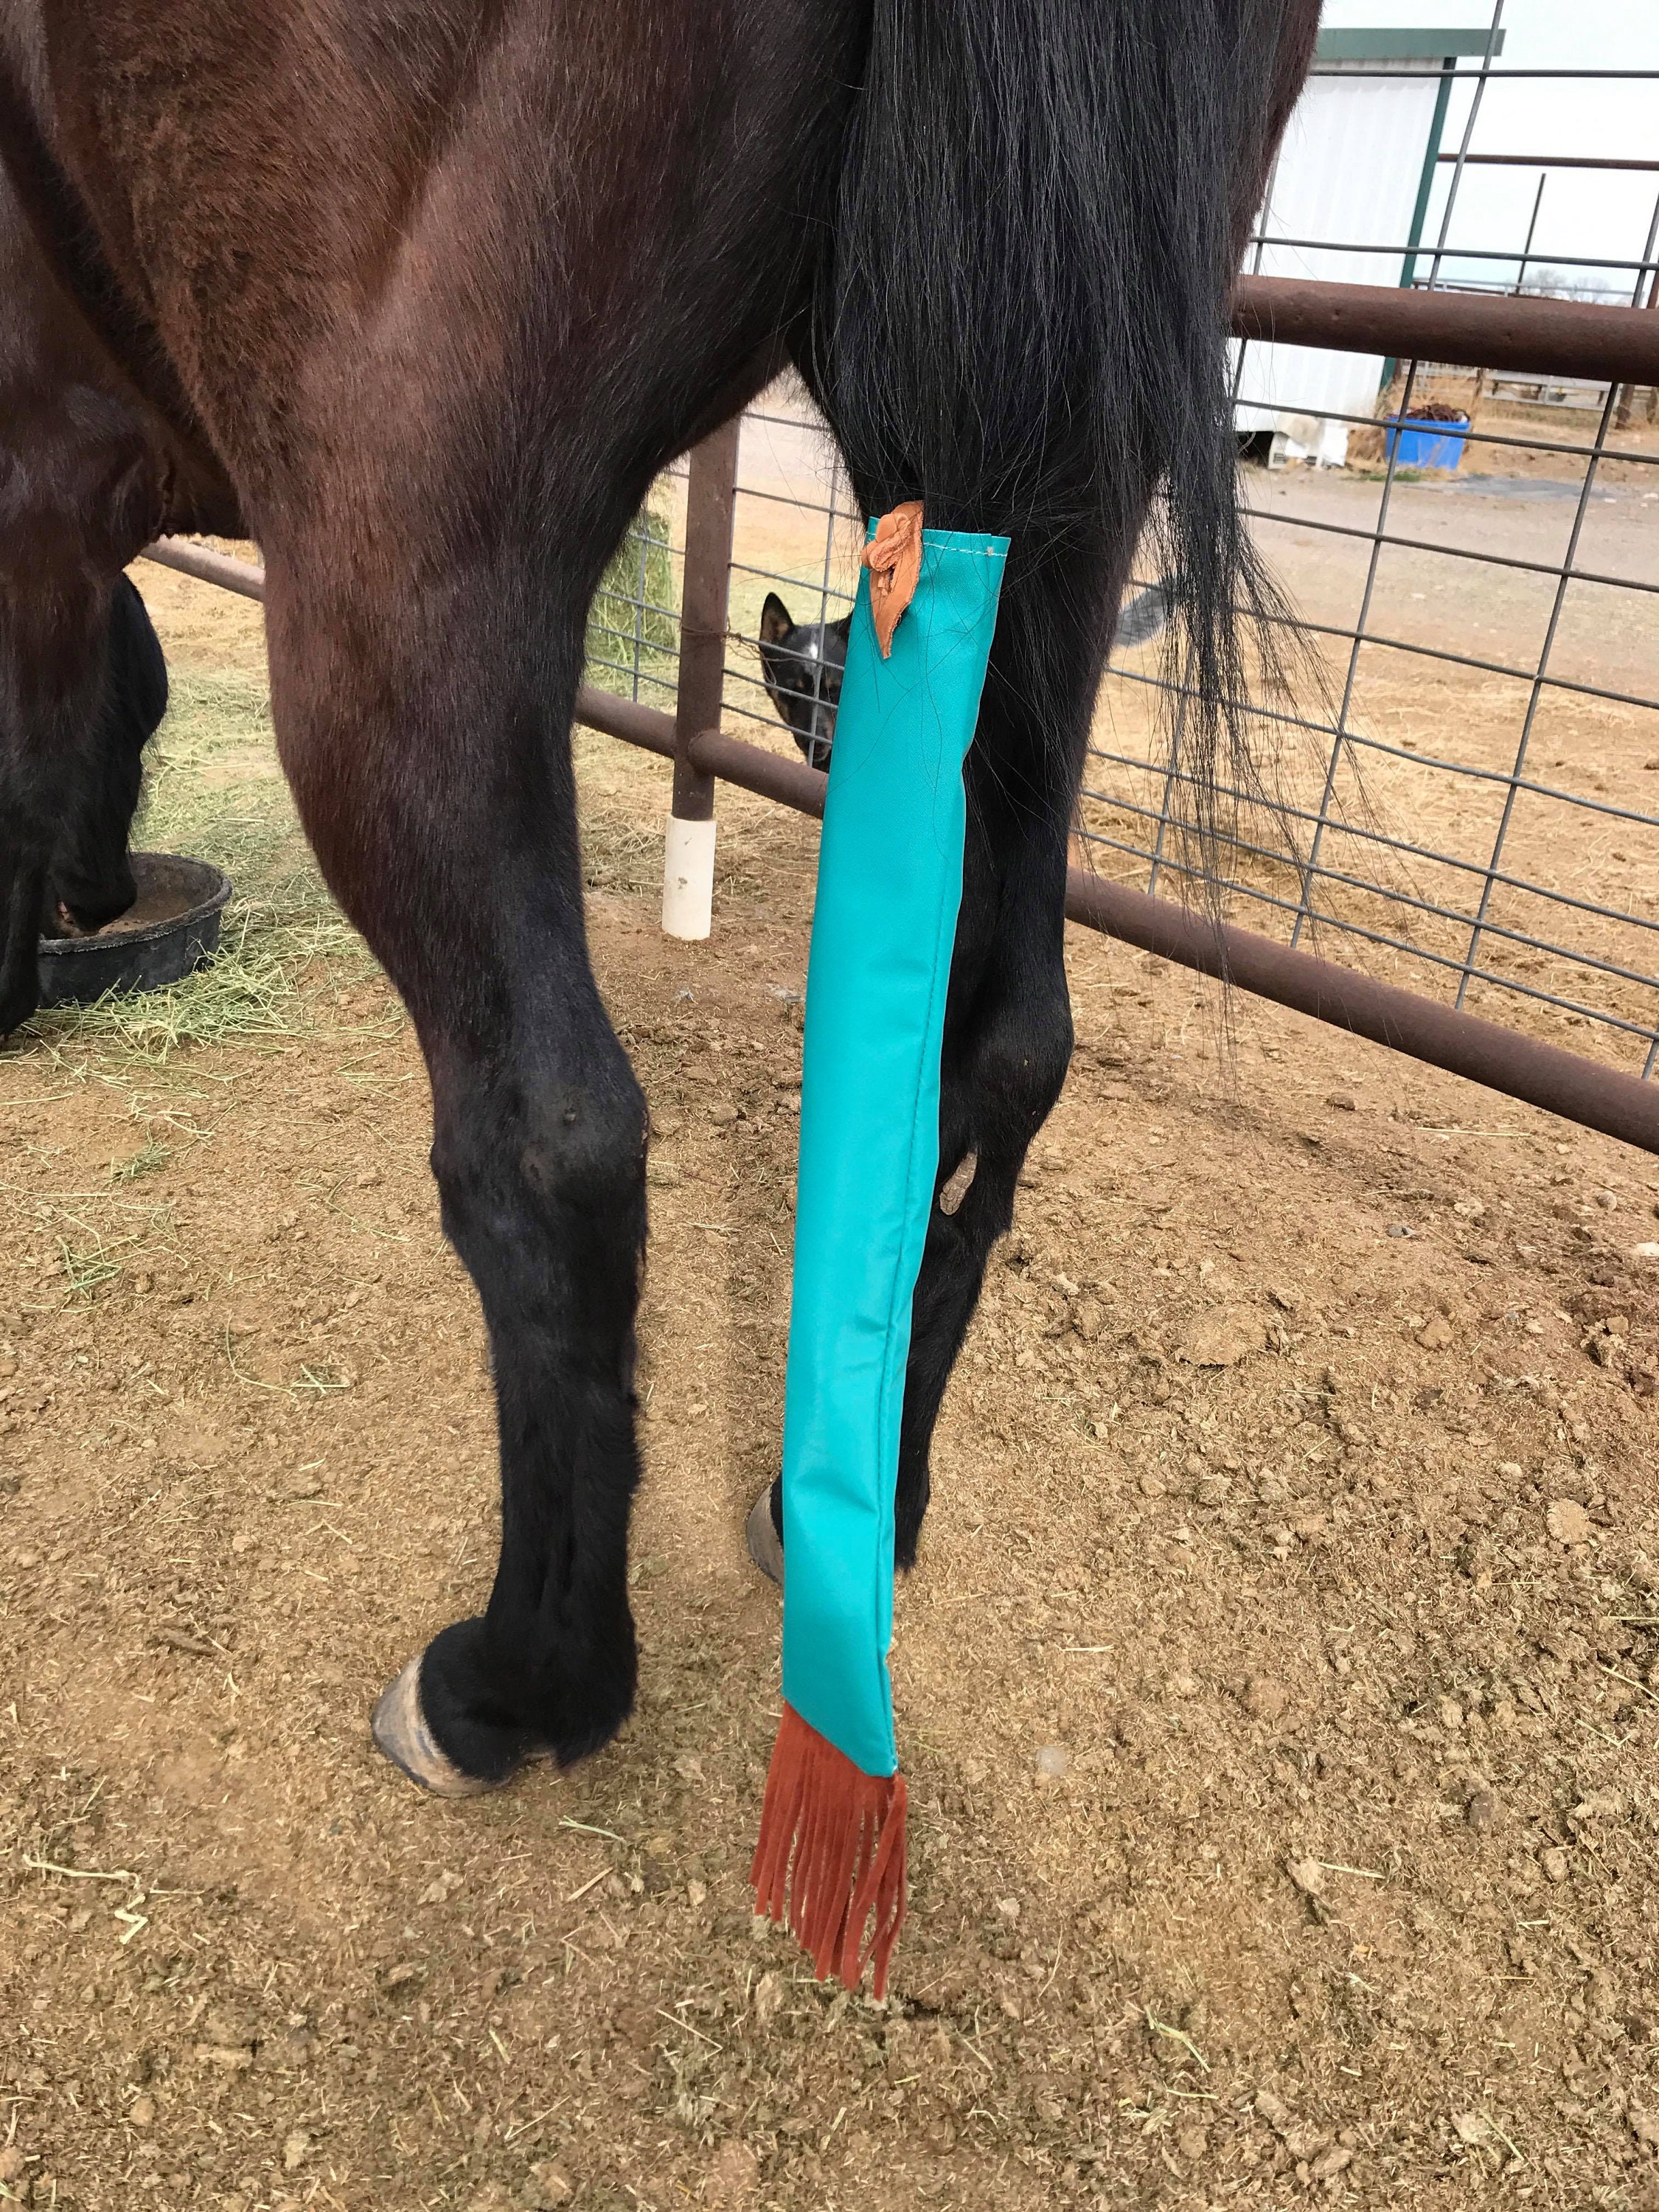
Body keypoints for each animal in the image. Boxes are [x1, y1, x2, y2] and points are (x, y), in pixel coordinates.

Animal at [0, 0, 1327, 1796]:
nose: (90, 910)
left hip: (409, 561)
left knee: (551, 1138)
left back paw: (514, 1689)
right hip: (1049, 503)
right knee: (1003, 1054)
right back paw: (858, 1513)